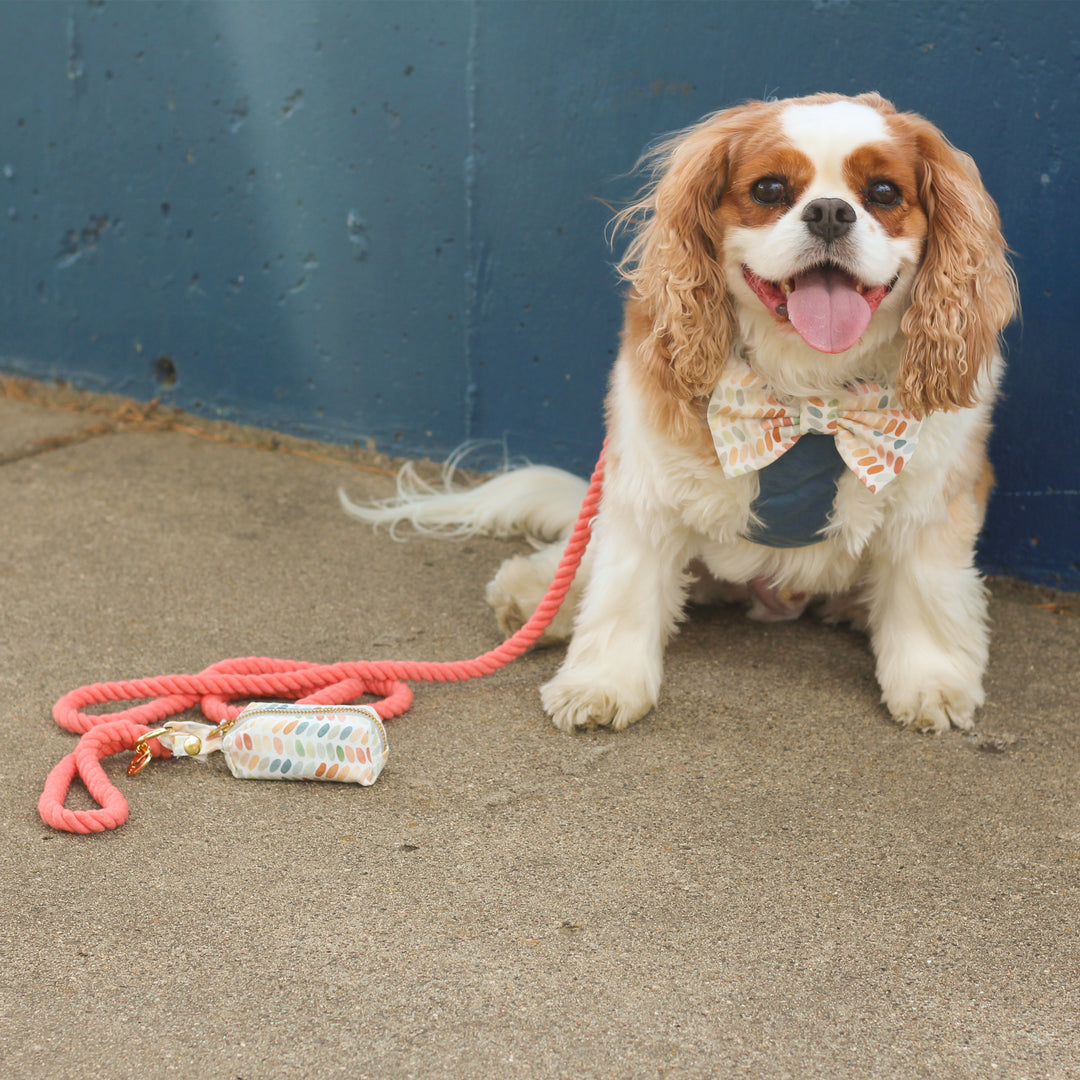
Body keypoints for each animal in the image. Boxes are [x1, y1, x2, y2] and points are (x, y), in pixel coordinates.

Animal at [347, 95, 1019, 734]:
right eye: (769, 189)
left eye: (883, 193)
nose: (830, 211)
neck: (810, 397)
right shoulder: (646, 483)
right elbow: (623, 589)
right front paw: (603, 684)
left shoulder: (931, 504)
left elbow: (926, 596)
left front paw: (931, 681)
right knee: (581, 553)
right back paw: (537, 599)